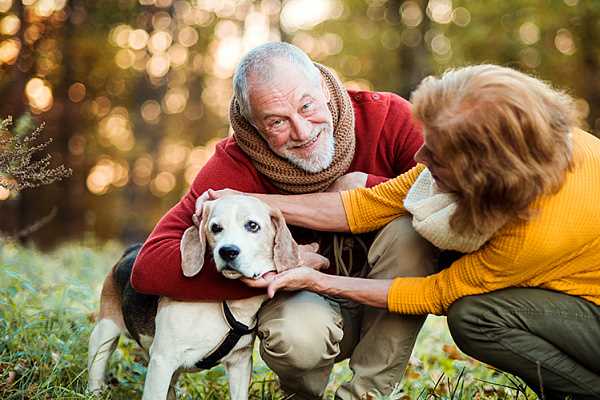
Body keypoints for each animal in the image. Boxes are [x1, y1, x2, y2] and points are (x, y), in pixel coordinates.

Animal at [89, 196, 314, 400]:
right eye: (215, 228)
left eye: (252, 226)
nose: (227, 251)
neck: (226, 304)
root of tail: (132, 249)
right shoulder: (162, 360)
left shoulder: (240, 363)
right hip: (105, 332)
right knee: (97, 364)